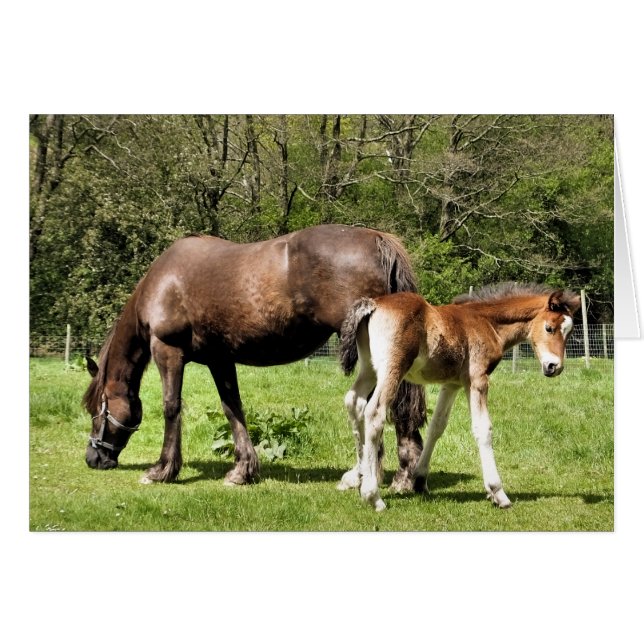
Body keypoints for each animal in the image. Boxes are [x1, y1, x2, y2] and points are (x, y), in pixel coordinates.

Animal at [83, 224, 427, 492]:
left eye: (96, 411)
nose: (93, 458)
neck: (162, 282)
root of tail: (378, 240)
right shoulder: (220, 359)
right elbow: (232, 408)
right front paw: (242, 470)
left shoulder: (167, 351)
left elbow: (171, 407)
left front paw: (162, 470)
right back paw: (407, 475)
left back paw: (391, 476)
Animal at [339, 283, 581, 511]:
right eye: (549, 328)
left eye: (568, 333)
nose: (554, 367)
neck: (487, 323)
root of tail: (374, 304)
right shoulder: (477, 380)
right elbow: (483, 429)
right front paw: (497, 493)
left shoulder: (451, 384)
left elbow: (437, 426)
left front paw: (420, 480)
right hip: (393, 369)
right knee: (374, 413)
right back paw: (372, 496)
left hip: (369, 368)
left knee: (354, 402)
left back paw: (358, 477)